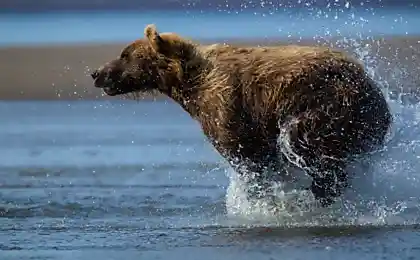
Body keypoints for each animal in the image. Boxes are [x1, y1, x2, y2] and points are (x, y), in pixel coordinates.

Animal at [90, 24, 392, 207]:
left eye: (124, 54)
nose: (96, 72)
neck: (189, 83)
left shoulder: (226, 105)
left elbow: (248, 155)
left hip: (330, 105)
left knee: (309, 144)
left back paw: (320, 190)